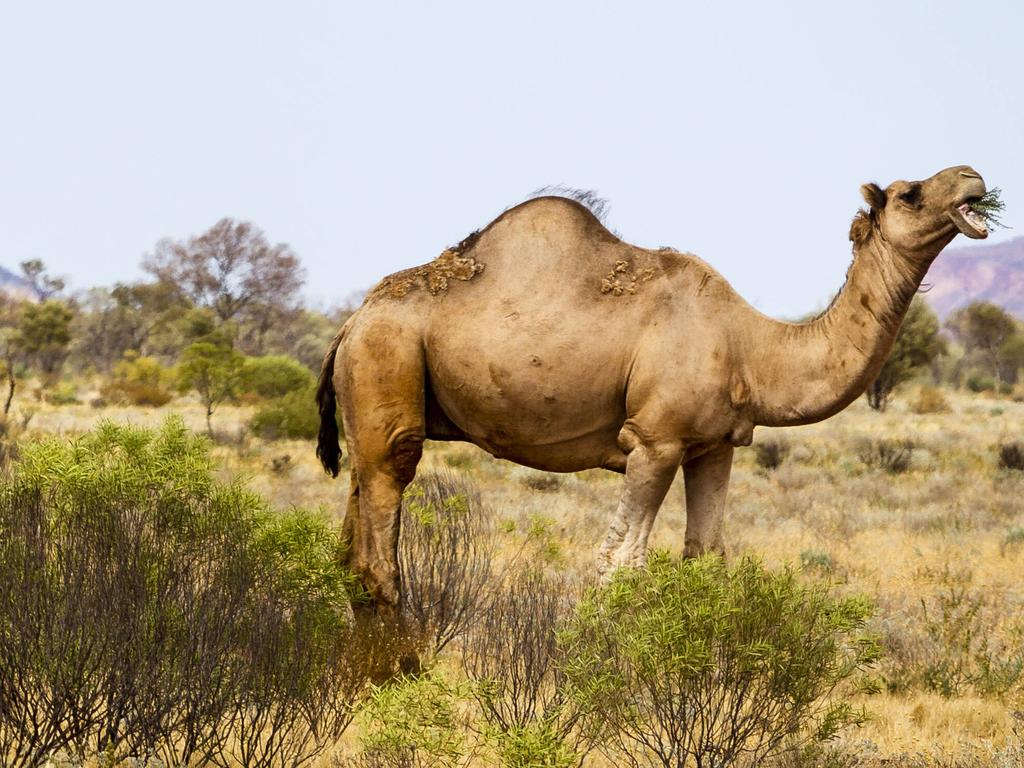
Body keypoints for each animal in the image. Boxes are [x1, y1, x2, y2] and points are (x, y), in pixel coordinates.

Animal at [319, 165, 991, 610]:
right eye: (910, 192)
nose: (973, 178)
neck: (750, 347)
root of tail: (351, 322)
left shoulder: (714, 446)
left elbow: (707, 556)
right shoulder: (654, 440)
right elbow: (620, 563)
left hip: (368, 400)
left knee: (353, 534)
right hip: (387, 359)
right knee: (383, 535)